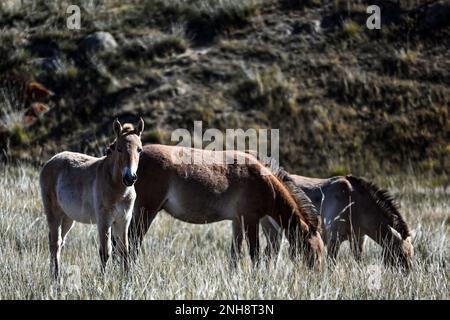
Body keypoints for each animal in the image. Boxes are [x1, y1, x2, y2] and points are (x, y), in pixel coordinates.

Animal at [39, 117, 144, 278]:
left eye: (139, 149)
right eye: (119, 149)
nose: (130, 178)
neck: (118, 188)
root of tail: (50, 161)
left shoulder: (123, 221)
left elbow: (124, 251)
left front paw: (127, 280)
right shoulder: (104, 221)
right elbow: (105, 252)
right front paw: (103, 280)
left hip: (68, 218)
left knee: (59, 242)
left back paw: (54, 274)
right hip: (53, 214)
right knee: (55, 243)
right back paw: (56, 277)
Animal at [129, 145, 324, 268]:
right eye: (313, 251)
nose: (315, 278)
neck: (264, 181)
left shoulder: (237, 221)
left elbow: (235, 256)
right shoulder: (250, 219)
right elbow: (255, 254)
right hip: (146, 211)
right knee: (132, 243)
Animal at [260, 174, 414, 272]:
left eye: (411, 254)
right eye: (401, 254)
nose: (408, 275)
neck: (355, 202)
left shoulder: (358, 240)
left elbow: (359, 262)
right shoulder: (334, 239)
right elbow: (331, 265)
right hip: (272, 232)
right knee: (270, 255)